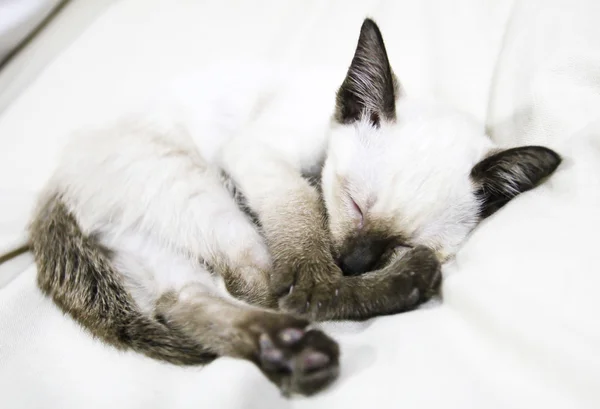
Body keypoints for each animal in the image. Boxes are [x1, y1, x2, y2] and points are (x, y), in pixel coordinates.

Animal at [29, 19, 564, 396]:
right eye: (354, 204)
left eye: (397, 242)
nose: (355, 263)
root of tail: (52, 187)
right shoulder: (260, 153)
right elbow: (301, 213)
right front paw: (317, 269)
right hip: (199, 191)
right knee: (266, 289)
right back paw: (381, 296)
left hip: (156, 239)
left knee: (189, 301)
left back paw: (293, 352)